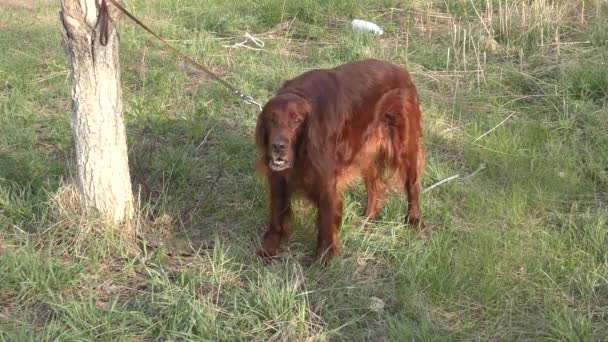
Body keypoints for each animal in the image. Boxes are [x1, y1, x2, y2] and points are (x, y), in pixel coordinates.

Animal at [254, 58, 426, 264]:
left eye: (297, 120)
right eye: (271, 119)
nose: (278, 147)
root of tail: (403, 72)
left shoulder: (327, 182)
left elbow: (326, 222)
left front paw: (323, 258)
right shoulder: (278, 179)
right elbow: (276, 217)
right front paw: (268, 250)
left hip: (404, 147)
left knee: (412, 186)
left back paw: (415, 221)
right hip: (366, 151)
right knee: (376, 187)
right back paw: (369, 219)